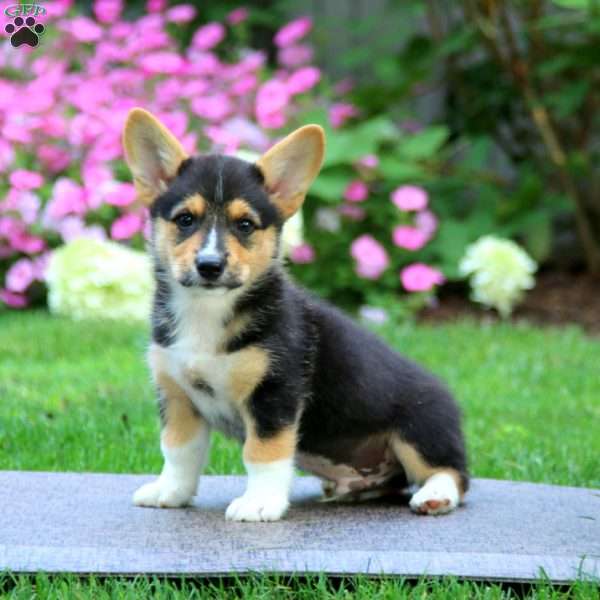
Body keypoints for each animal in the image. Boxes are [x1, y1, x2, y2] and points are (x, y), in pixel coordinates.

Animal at [123, 110, 468, 524]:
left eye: (245, 225)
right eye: (185, 219)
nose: (209, 265)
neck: (207, 311)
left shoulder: (274, 394)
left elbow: (262, 454)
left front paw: (259, 503)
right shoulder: (177, 395)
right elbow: (178, 451)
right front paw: (171, 492)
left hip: (420, 428)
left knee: (451, 472)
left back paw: (435, 496)